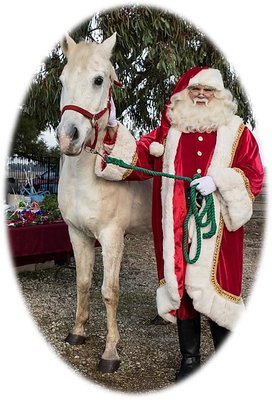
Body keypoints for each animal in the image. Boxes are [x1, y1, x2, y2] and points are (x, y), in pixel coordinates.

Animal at [56, 32, 152, 374]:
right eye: (61, 80)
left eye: (99, 80)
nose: (67, 137)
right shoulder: (77, 233)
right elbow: (83, 282)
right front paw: (77, 332)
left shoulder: (111, 238)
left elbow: (109, 293)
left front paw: (110, 353)